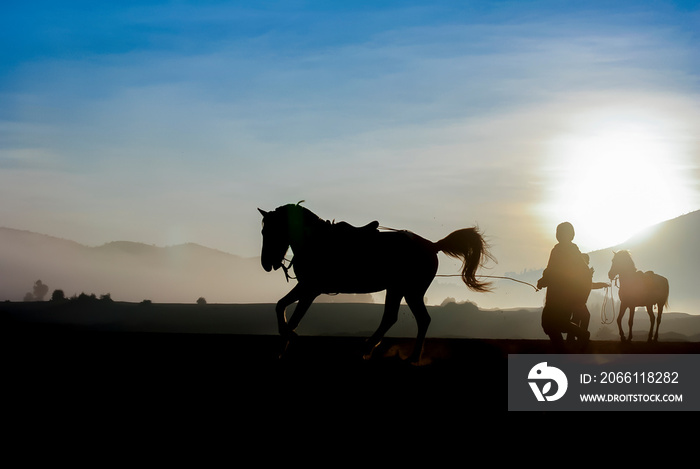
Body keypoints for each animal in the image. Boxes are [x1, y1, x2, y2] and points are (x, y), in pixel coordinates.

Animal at [258, 201, 492, 362]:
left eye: (270, 231)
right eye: (263, 231)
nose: (266, 263)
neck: (315, 241)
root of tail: (433, 245)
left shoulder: (310, 289)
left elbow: (290, 315)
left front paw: (289, 338)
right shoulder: (306, 288)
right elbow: (282, 307)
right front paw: (281, 348)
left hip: (409, 290)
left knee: (412, 319)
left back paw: (387, 352)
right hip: (400, 290)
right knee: (401, 318)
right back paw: (383, 351)